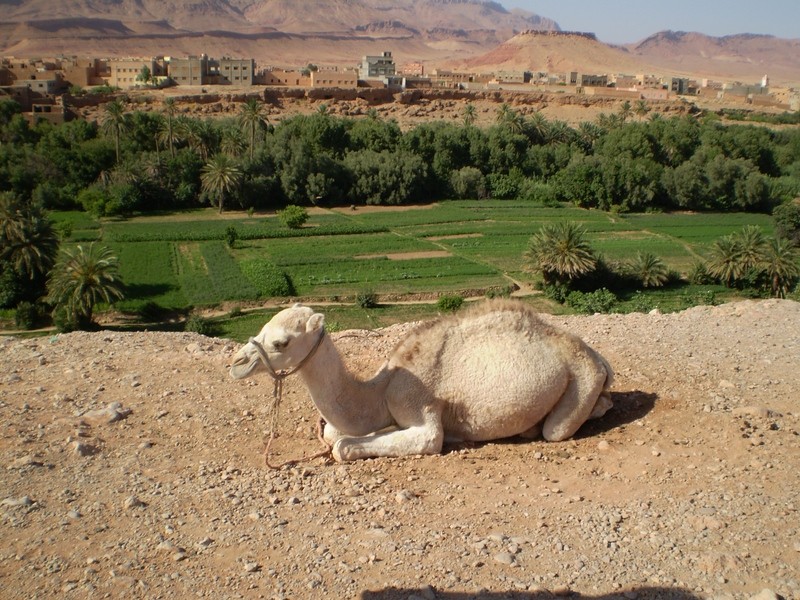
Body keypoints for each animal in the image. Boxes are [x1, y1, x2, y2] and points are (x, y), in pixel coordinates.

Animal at [228, 300, 616, 464]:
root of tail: (598, 358)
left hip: (583, 377)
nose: (236, 363)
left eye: (281, 342)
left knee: (560, 426)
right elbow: (333, 433)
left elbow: (343, 446)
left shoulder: (421, 409)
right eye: (263, 327)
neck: (382, 390)